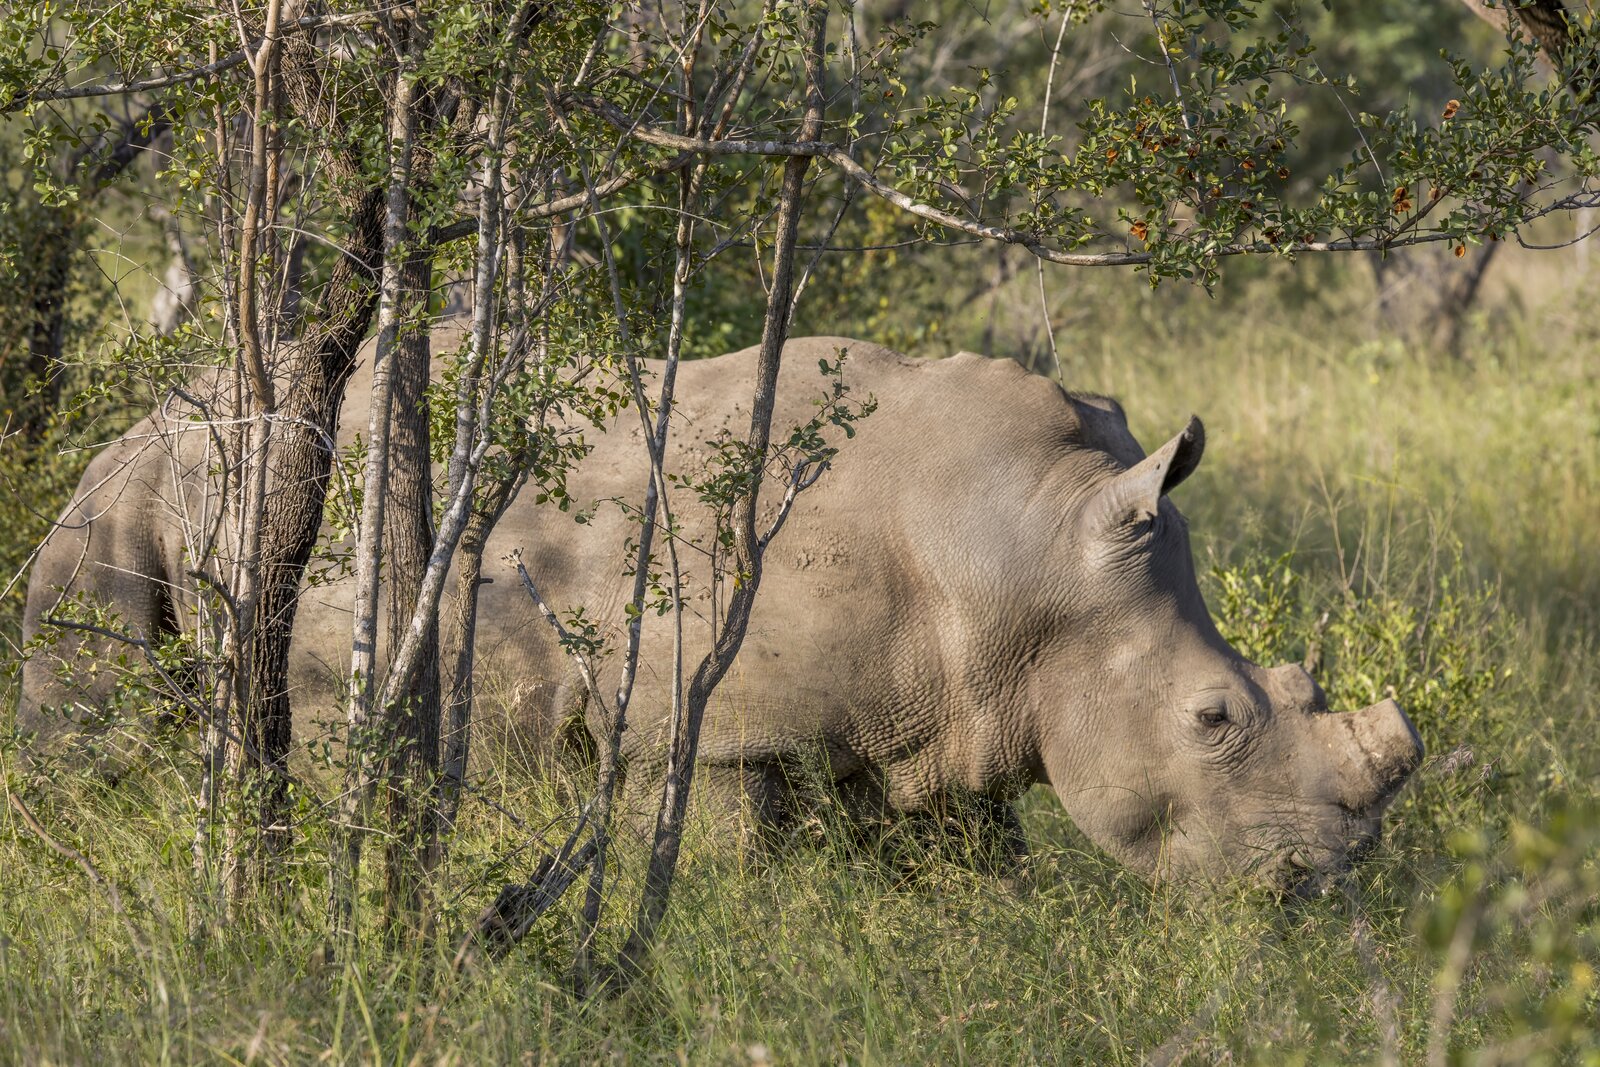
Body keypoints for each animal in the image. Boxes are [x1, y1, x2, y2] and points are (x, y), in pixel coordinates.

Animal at [17, 334, 1423, 884]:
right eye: (1213, 717)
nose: (1316, 886)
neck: (1020, 552)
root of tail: (143, 417)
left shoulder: (956, 719)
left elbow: (967, 867)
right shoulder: (715, 725)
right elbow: (729, 866)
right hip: (123, 504)